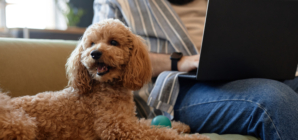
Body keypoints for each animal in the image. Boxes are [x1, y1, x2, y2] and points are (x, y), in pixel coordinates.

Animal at [0, 18, 210, 140]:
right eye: (91, 43)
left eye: (113, 42)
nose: (95, 53)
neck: (106, 87)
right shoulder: (116, 128)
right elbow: (158, 132)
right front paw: (194, 138)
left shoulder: (128, 121)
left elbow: (152, 123)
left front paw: (180, 126)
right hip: (23, 124)